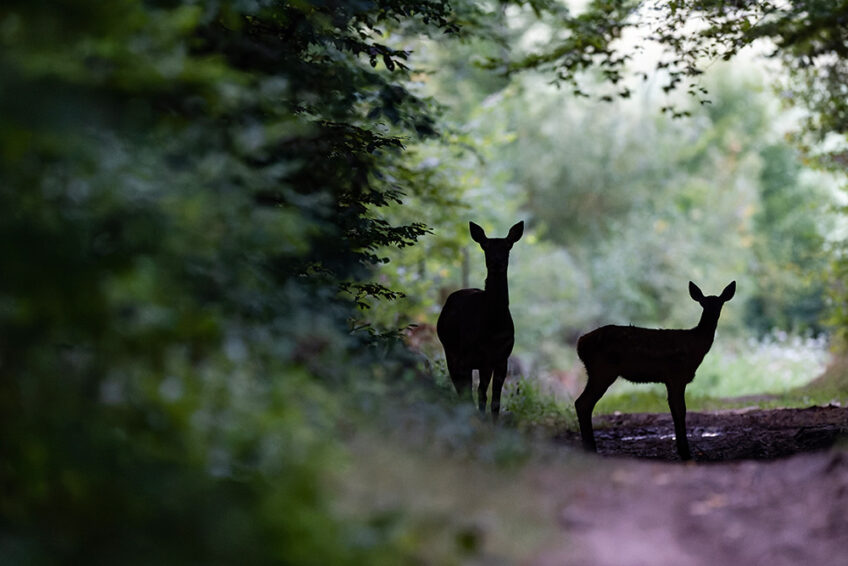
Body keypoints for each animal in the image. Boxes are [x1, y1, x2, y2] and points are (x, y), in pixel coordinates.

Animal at [437, 221, 524, 418]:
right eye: (486, 246)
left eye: (507, 246)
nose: (497, 261)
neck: (493, 327)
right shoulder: (471, 357)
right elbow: (476, 393)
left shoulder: (501, 358)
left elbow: (495, 400)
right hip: (451, 350)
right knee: (461, 388)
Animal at [575, 281, 736, 460]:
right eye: (703, 303)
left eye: (720, 303)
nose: (713, 315)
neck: (695, 347)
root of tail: (580, 343)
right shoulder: (676, 375)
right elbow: (680, 410)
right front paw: (685, 453)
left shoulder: (671, 380)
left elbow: (675, 409)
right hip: (602, 371)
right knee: (582, 403)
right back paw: (591, 449)